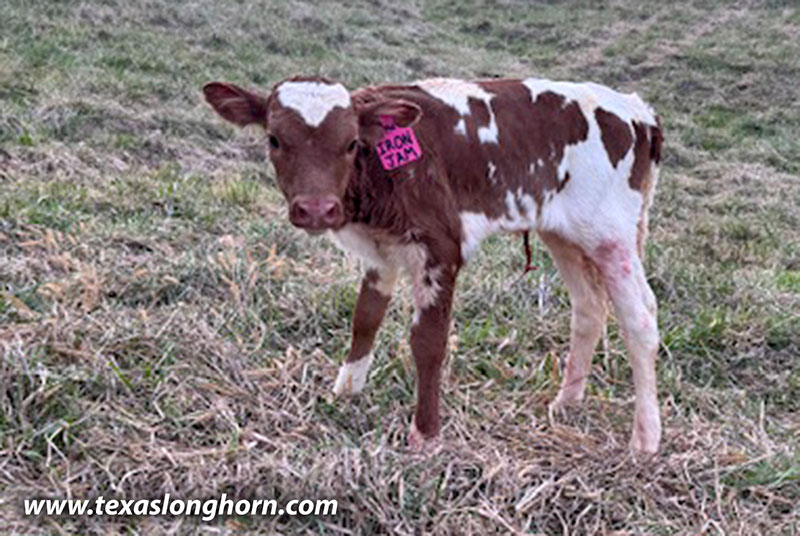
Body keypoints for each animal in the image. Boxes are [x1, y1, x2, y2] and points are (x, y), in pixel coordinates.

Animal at [203, 75, 664, 454]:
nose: (317, 209)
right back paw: (566, 401)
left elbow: (428, 341)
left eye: (350, 143)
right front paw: (346, 391)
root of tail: (637, 109)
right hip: (564, 233)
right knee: (588, 308)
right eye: (275, 140)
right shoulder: (381, 251)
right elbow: (365, 318)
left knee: (640, 319)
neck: (382, 170)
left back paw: (645, 439)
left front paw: (425, 434)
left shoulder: (441, 249)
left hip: (611, 236)